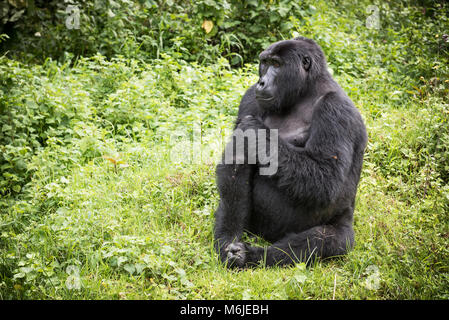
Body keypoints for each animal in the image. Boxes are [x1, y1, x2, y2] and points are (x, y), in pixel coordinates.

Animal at [214, 36, 368, 268]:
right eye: (265, 63)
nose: (261, 82)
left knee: (325, 240)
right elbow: (235, 166)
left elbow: (326, 179)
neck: (304, 91)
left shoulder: (336, 108)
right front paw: (227, 238)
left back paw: (256, 256)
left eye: (277, 64)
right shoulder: (250, 98)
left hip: (343, 227)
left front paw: (256, 133)